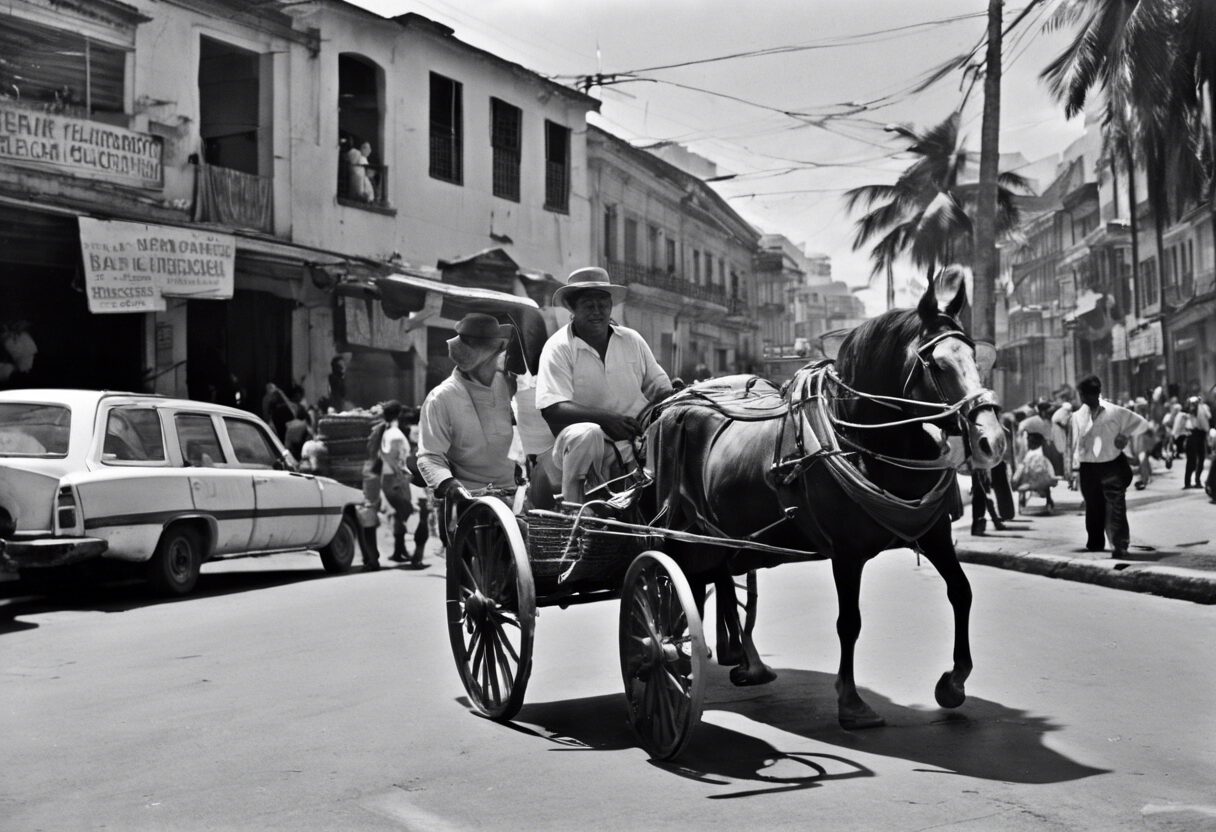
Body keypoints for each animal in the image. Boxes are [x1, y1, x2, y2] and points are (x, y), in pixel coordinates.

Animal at [642, 266, 1001, 729]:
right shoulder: (846, 552)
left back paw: (745, 661)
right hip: (681, 534)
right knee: (678, 586)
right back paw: (681, 654)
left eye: (976, 357)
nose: (992, 440)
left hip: (721, 534)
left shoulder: (933, 532)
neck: (858, 440)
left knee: (717, 578)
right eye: (938, 364)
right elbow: (849, 622)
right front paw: (851, 703)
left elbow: (962, 592)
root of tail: (674, 404)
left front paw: (954, 682)